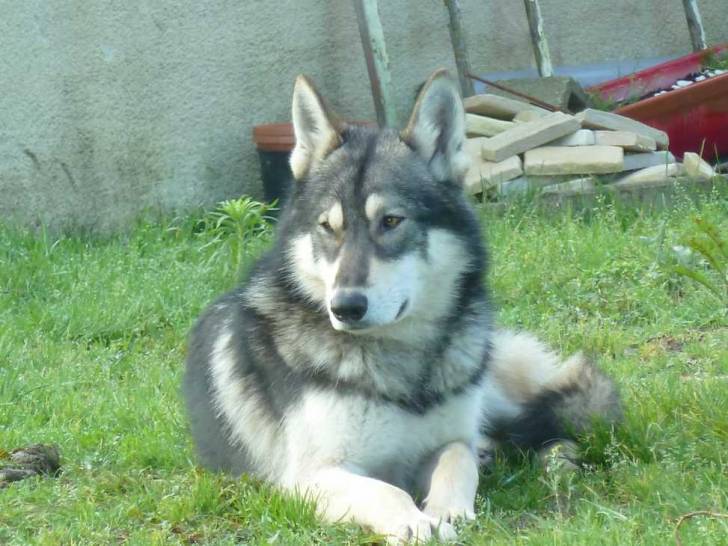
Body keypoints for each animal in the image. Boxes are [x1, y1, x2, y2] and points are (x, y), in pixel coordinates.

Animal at [184, 70, 621, 544]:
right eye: (328, 228)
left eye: (391, 221)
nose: (345, 307)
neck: (400, 366)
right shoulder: (309, 477)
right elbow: (385, 490)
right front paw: (415, 522)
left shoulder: (450, 441)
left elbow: (457, 461)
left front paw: (450, 512)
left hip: (500, 394)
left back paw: (557, 460)